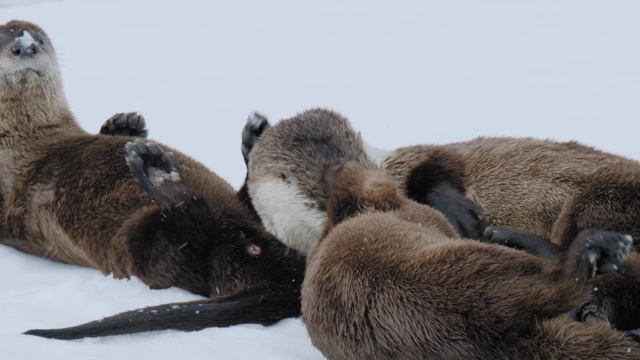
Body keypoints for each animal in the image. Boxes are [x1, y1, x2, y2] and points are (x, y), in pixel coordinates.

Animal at [0, 21, 304, 338]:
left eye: (40, 40)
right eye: (1, 39)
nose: (25, 46)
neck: (29, 136)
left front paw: (123, 125)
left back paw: (254, 143)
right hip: (142, 243)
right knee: (187, 242)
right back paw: (158, 176)